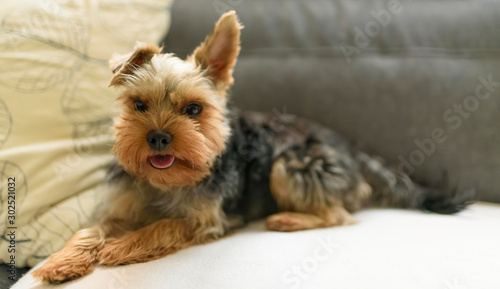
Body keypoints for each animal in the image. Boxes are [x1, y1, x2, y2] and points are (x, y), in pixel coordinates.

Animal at [32, 11, 472, 284]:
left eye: (194, 109)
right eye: (138, 105)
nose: (157, 137)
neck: (167, 182)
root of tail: (350, 148)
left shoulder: (206, 220)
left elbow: (162, 225)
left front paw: (121, 246)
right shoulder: (123, 206)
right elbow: (92, 228)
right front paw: (61, 261)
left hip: (290, 165)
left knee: (340, 213)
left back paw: (288, 219)